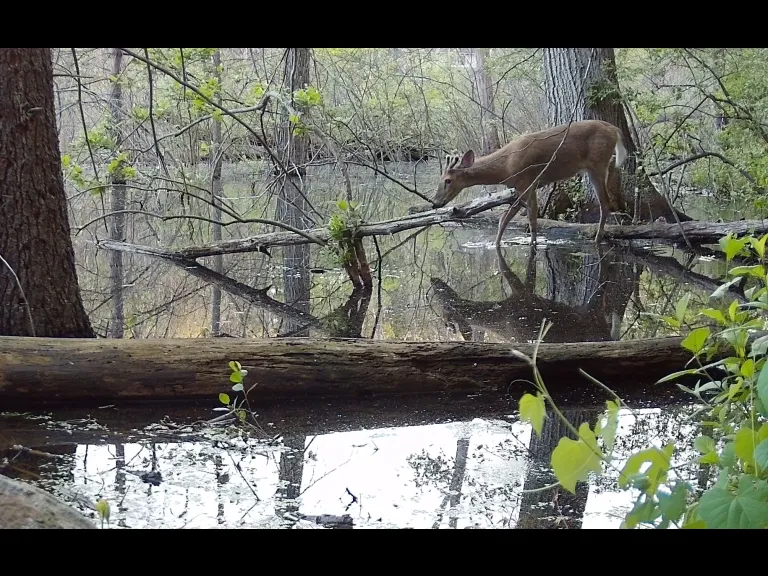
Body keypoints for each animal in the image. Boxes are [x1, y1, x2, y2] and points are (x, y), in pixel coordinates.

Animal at [431, 120, 628, 246]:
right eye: (439, 180)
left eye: (447, 180)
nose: (434, 202)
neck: (505, 167)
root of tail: (614, 129)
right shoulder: (522, 187)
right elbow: (508, 218)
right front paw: (497, 243)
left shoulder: (527, 182)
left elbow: (530, 219)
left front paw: (532, 244)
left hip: (597, 164)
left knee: (605, 203)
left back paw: (597, 239)